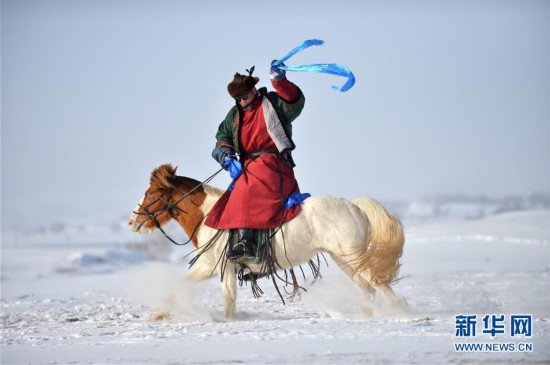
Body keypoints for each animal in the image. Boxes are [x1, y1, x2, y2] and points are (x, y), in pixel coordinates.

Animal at [129, 164, 406, 318]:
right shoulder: (213, 268)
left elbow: (226, 300)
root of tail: (353, 205)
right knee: (368, 288)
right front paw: (158, 314)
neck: (210, 215)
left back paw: (401, 310)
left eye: (150, 193)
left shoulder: (220, 268)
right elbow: (182, 286)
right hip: (345, 260)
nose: (133, 222)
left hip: (354, 258)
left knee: (379, 285)